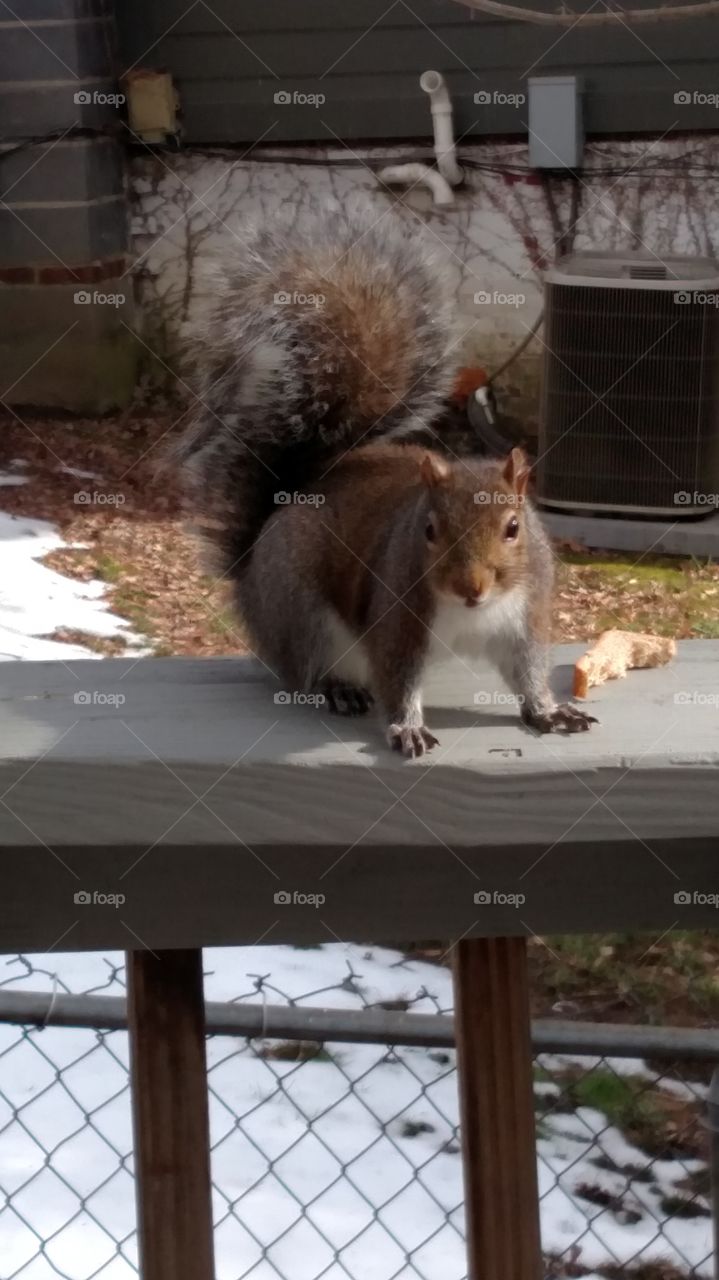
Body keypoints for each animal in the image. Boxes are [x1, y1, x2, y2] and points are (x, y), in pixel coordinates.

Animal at [178, 203, 597, 756]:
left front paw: (548, 712)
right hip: (300, 611)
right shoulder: (397, 621)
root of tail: (249, 575)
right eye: (429, 530)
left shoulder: (523, 618)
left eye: (514, 528)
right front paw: (407, 727)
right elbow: (397, 679)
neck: (472, 612)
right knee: (305, 670)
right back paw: (338, 688)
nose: (472, 586)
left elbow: (527, 673)